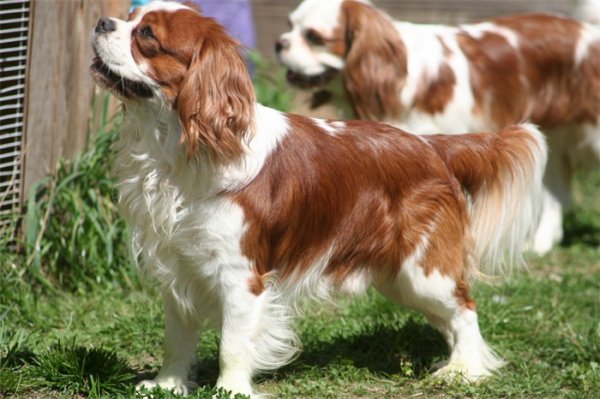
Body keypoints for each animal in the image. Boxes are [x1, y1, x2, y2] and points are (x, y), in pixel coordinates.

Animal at [91, 1, 548, 398]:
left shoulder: (240, 275)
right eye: (130, 16)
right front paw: (167, 384)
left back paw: (465, 371)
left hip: (422, 271)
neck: (176, 145)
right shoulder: (179, 266)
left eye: (146, 35)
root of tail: (433, 145)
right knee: (451, 316)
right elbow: (177, 337)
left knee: (466, 308)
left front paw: (230, 391)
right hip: (399, 277)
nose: (102, 22)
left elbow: (233, 343)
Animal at [276, 0, 600, 256]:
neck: (400, 72)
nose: (279, 43)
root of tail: (589, 33)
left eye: (313, 37)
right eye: (289, 24)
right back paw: (542, 245)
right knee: (556, 194)